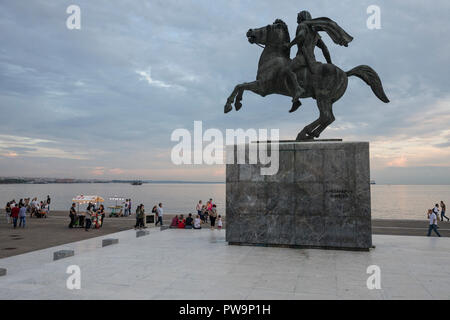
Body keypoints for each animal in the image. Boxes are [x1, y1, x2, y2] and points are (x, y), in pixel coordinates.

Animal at [223, 19, 388, 140]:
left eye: (268, 26)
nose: (250, 31)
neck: (273, 59)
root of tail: (345, 73)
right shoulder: (260, 87)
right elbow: (241, 85)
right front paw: (237, 103)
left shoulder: (262, 88)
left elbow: (240, 85)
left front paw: (230, 105)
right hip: (327, 99)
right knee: (329, 118)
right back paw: (311, 134)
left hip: (322, 96)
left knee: (326, 116)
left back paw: (304, 132)